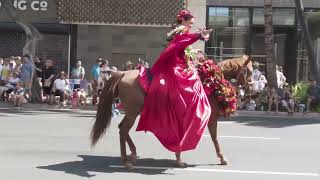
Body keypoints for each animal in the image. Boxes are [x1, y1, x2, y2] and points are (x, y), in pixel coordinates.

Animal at [90, 54, 252, 169]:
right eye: (249, 71)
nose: (251, 88)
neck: (211, 83)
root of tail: (122, 73)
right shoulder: (210, 117)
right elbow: (214, 138)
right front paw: (222, 158)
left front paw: (178, 158)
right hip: (132, 112)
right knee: (123, 130)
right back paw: (126, 161)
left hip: (131, 112)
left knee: (121, 129)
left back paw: (132, 154)